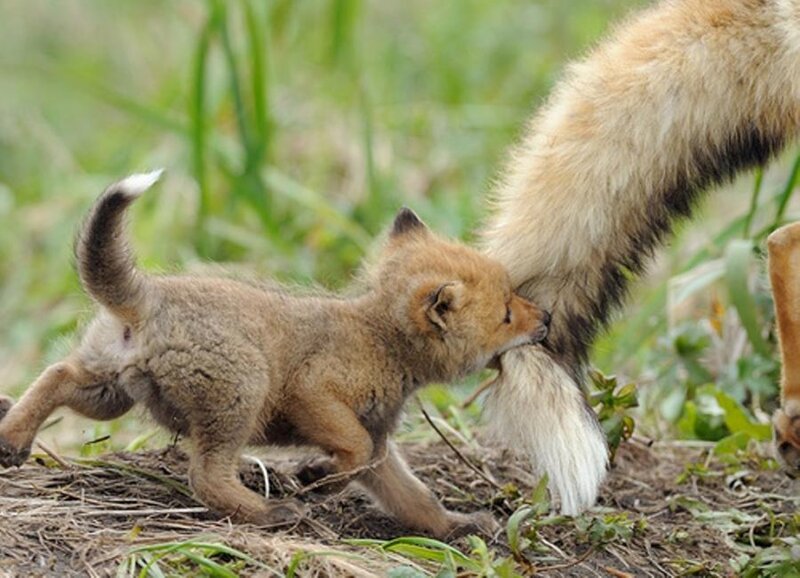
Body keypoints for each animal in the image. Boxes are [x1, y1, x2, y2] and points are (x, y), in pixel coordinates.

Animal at [0, 171, 551, 538]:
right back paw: (269, 514)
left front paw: (457, 526)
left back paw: (12, 438)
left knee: (56, 374)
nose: (546, 317)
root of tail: (149, 295)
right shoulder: (316, 394)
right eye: (507, 314)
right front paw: (315, 479)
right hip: (241, 393)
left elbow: (414, 500)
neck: (379, 339)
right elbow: (350, 450)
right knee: (205, 477)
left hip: (108, 390)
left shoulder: (379, 446)